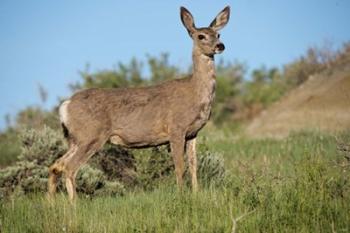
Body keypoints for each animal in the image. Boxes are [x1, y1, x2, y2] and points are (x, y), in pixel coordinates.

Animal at [48, 5, 230, 200]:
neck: (195, 92)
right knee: (69, 168)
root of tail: (65, 105)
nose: (220, 46)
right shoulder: (176, 128)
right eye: (201, 36)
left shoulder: (193, 132)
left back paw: (51, 202)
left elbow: (194, 165)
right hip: (90, 135)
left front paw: (196, 193)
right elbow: (180, 168)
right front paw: (182, 196)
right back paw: (74, 204)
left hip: (75, 138)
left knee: (56, 165)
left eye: (218, 34)